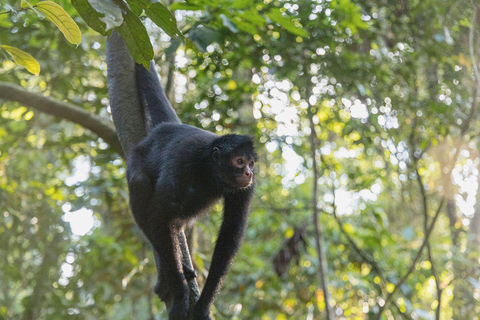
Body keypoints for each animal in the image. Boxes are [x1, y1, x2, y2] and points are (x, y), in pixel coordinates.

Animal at [125, 61, 256, 318]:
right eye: (239, 161)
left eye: (251, 163)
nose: (249, 173)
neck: (209, 169)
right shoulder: (183, 161)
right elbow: (159, 217)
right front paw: (180, 295)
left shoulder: (246, 188)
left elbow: (229, 235)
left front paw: (204, 304)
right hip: (137, 154)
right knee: (140, 184)